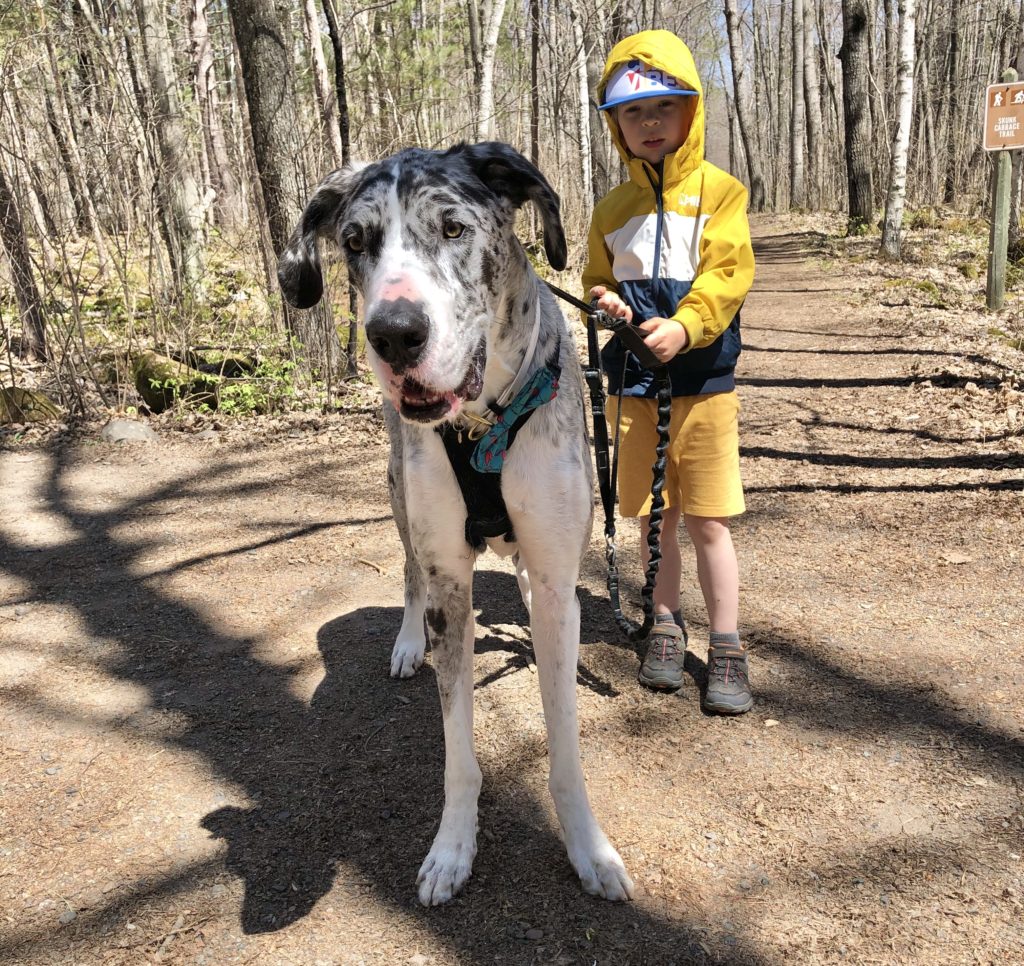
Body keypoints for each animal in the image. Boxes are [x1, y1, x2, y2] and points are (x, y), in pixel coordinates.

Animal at [280, 141, 630, 905]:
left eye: (453, 228)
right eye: (355, 242)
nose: (393, 334)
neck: (484, 426)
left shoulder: (557, 576)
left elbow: (564, 741)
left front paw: (589, 848)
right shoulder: (451, 584)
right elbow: (458, 754)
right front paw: (452, 849)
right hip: (399, 494)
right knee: (409, 571)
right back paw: (408, 642)